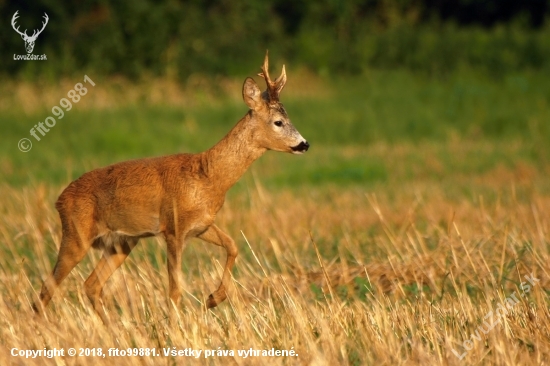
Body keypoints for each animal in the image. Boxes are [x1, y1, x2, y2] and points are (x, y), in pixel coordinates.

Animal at [33, 52, 310, 324]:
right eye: (278, 122)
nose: (304, 144)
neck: (209, 176)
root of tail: (59, 199)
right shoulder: (173, 228)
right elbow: (175, 290)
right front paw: (178, 326)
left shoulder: (201, 225)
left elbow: (233, 245)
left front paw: (213, 299)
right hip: (76, 234)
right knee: (46, 288)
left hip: (120, 242)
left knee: (90, 285)